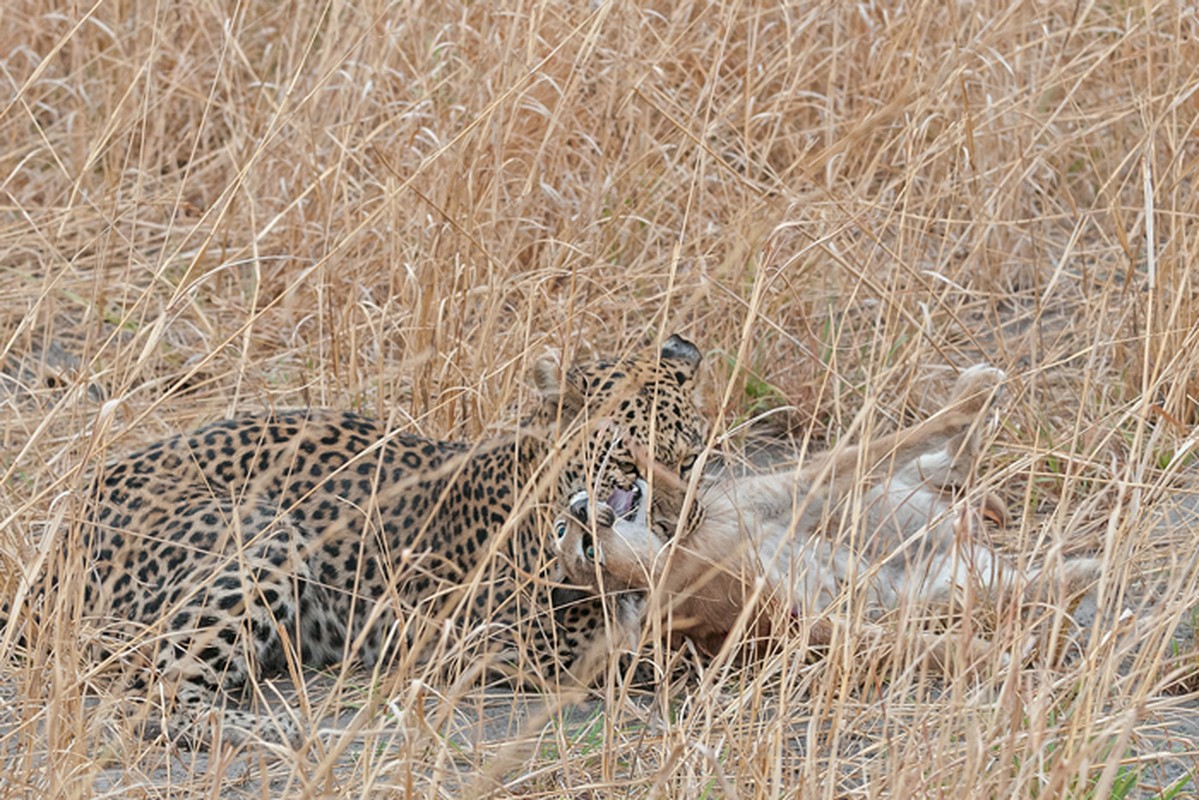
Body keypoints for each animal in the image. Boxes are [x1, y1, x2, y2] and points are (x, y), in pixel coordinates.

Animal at [4, 333, 705, 743]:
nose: (684, 524)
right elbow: (650, 649)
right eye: (629, 462)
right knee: (157, 697)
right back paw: (284, 731)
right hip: (261, 532)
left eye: (691, 454)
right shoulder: (508, 639)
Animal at [551, 369, 1103, 676]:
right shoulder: (792, 622)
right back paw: (1086, 575)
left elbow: (869, 451)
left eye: (568, 539)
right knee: (1017, 582)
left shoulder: (782, 497)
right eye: (586, 554)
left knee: (927, 465)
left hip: (883, 504)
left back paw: (976, 392)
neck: (666, 550)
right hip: (951, 585)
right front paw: (1000, 658)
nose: (575, 510)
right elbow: (902, 645)